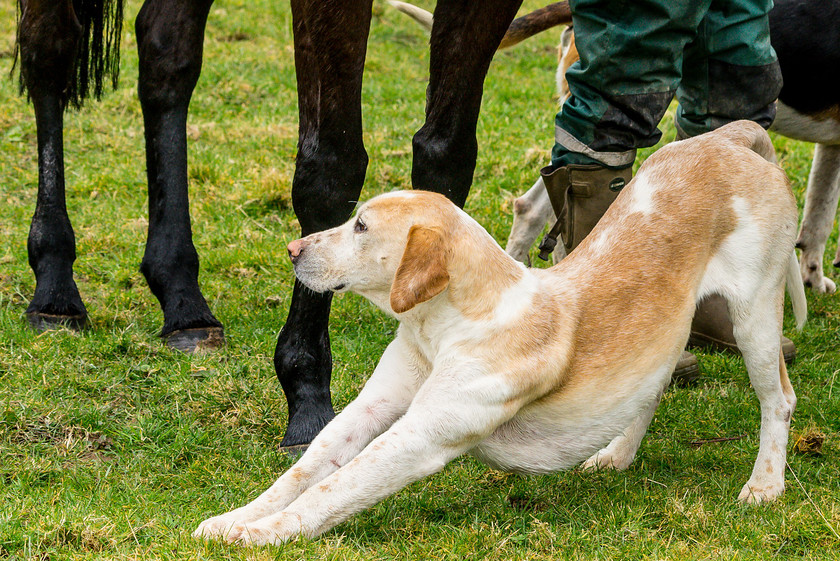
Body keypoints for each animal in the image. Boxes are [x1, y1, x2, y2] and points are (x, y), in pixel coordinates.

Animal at [195, 121, 808, 544]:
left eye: (362, 227)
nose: (293, 248)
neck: (448, 326)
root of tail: (728, 138)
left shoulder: (422, 437)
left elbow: (333, 489)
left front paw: (261, 535)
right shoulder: (370, 410)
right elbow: (303, 470)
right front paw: (233, 519)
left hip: (754, 319)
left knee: (779, 399)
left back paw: (765, 487)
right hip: (669, 332)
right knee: (650, 392)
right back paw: (616, 455)